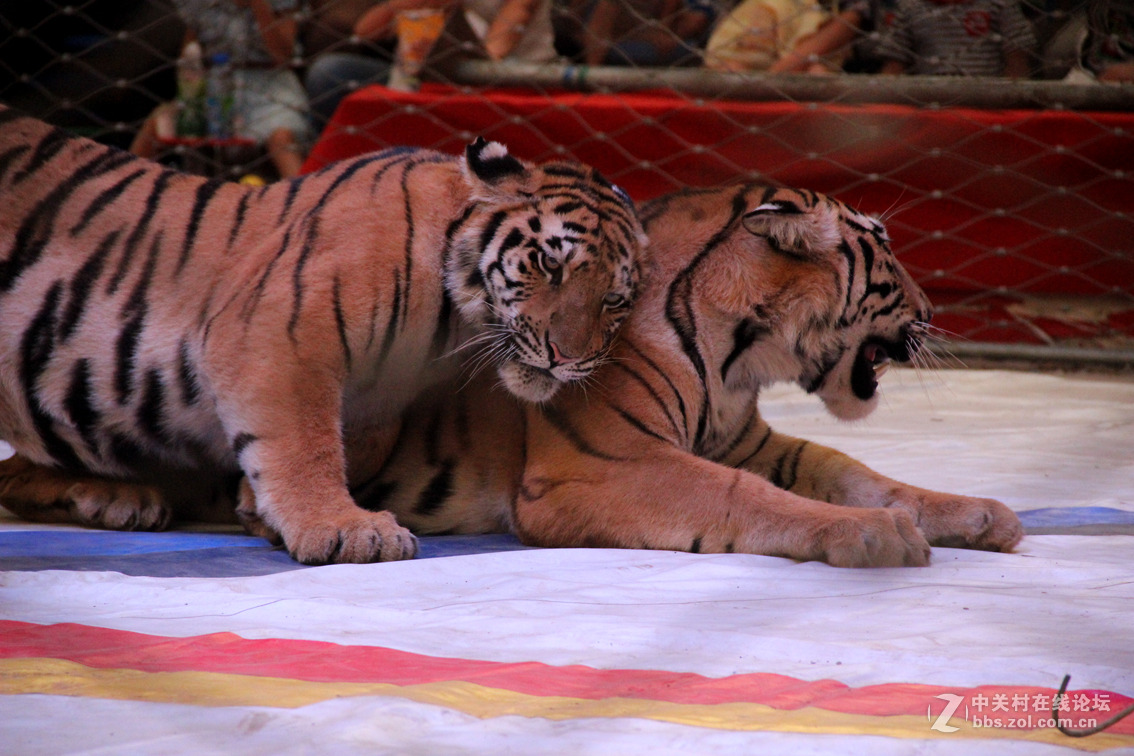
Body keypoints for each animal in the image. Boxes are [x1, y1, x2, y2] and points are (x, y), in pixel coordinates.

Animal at [0, 106, 645, 565]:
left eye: (614, 299)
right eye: (549, 265)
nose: (567, 358)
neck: (448, 323)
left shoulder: (378, 398)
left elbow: (345, 445)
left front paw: (258, 509)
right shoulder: (274, 333)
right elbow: (304, 441)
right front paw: (341, 529)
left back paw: (118, 496)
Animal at [337, 183, 1024, 567]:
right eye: (884, 250)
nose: (932, 313)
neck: (740, 359)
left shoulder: (748, 442)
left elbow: (852, 472)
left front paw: (979, 515)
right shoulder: (599, 463)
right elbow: (737, 494)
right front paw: (870, 532)